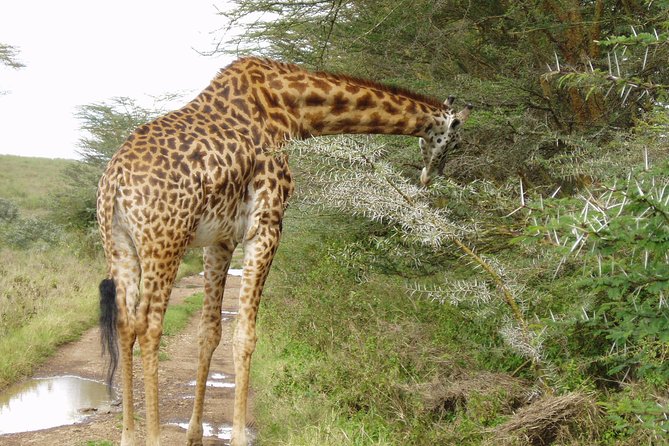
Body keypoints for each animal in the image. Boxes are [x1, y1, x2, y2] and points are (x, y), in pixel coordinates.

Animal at [97, 56, 471, 446]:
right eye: (455, 141)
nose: (432, 177)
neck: (292, 109)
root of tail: (114, 183)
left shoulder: (221, 239)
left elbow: (209, 332)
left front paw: (195, 435)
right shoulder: (267, 226)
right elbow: (245, 336)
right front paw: (239, 437)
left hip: (119, 245)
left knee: (125, 324)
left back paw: (128, 436)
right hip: (164, 242)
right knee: (149, 327)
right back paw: (152, 436)